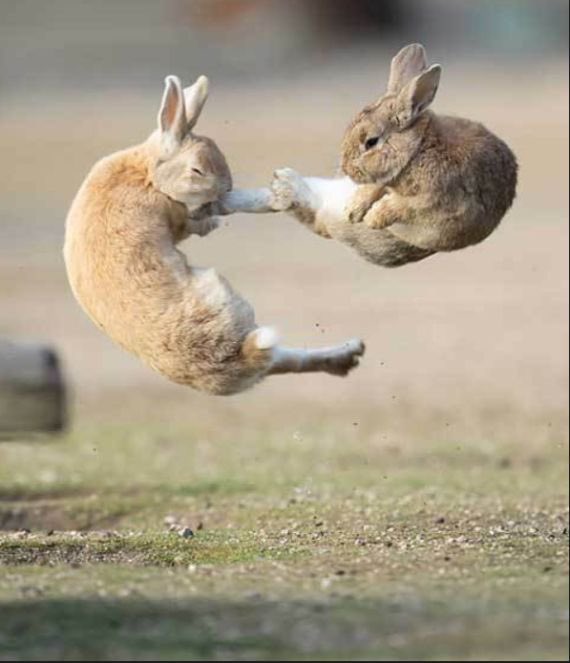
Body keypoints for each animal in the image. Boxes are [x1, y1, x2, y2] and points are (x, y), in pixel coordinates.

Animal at [64, 74, 364, 396]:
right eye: (197, 170)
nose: (226, 189)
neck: (148, 173)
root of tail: (239, 357)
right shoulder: (177, 215)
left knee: (286, 360)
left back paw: (350, 353)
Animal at [268, 43, 518, 267]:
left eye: (371, 142)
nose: (347, 170)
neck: (417, 150)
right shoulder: (383, 180)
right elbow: (375, 189)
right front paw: (354, 210)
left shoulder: (433, 200)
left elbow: (401, 207)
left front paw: (372, 218)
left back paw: (285, 187)